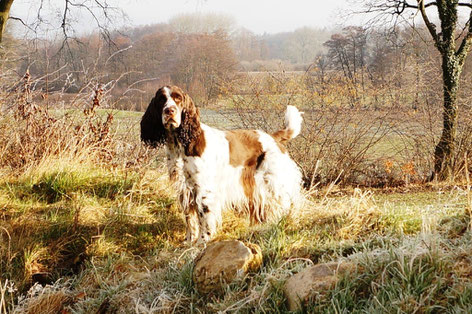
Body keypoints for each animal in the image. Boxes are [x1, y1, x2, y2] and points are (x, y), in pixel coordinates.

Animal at [140, 86, 302, 245]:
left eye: (177, 98)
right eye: (161, 99)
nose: (170, 111)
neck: (180, 143)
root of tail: (273, 137)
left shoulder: (203, 189)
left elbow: (204, 217)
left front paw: (202, 242)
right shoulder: (184, 188)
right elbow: (190, 219)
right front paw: (188, 242)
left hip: (274, 182)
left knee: (283, 204)